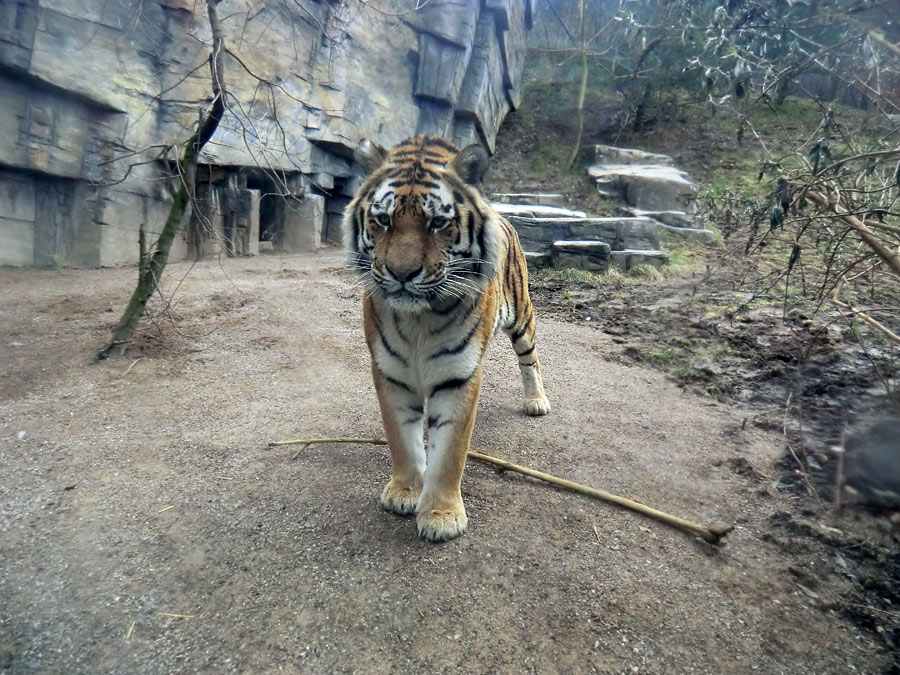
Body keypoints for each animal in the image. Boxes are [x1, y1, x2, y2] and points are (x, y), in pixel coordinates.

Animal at [344, 135, 552, 540]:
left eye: (438, 222)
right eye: (383, 219)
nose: (401, 273)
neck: (417, 320)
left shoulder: (459, 375)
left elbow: (450, 453)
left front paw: (441, 516)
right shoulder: (390, 372)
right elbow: (402, 441)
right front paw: (405, 492)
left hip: (522, 316)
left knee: (530, 358)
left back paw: (536, 401)